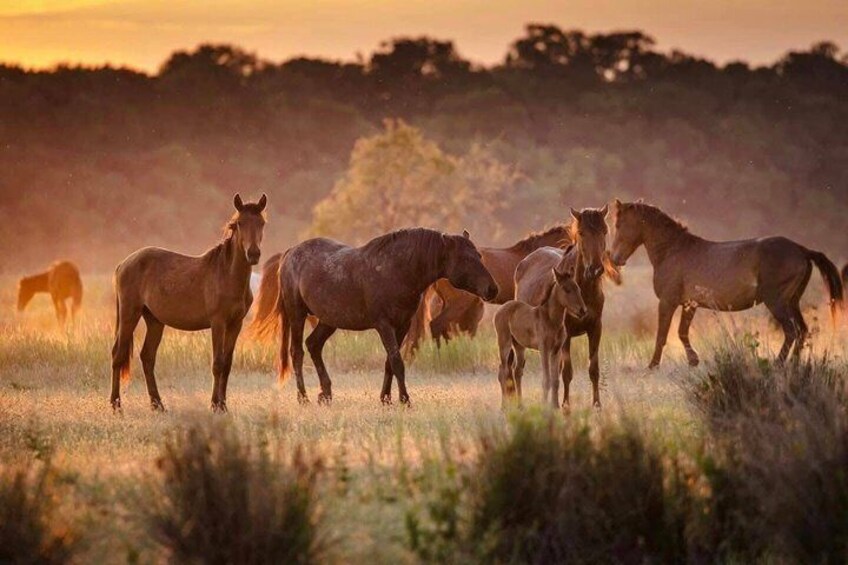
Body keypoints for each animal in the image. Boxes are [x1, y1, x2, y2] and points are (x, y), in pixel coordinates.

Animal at [110, 194, 267, 412]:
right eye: (240, 223)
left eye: (261, 223)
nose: (253, 254)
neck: (226, 274)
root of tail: (123, 264)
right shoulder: (218, 323)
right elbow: (217, 363)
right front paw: (215, 405)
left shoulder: (235, 324)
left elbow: (227, 364)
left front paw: (223, 405)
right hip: (129, 315)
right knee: (118, 355)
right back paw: (116, 405)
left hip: (154, 321)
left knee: (147, 357)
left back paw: (158, 405)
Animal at [253, 228, 498, 406]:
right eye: (466, 259)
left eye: (479, 255)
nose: (492, 289)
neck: (397, 270)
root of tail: (290, 252)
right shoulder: (384, 325)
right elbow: (397, 361)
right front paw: (404, 400)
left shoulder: (402, 325)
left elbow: (390, 362)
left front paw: (386, 399)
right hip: (297, 315)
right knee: (297, 352)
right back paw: (303, 397)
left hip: (329, 321)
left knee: (313, 345)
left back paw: (326, 394)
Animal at [494, 249, 587, 407]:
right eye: (566, 289)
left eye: (579, 289)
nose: (582, 310)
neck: (552, 321)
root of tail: (501, 309)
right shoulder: (544, 349)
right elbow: (546, 380)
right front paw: (545, 407)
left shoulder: (556, 350)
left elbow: (555, 380)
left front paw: (555, 407)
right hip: (504, 343)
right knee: (503, 371)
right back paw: (504, 407)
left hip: (519, 346)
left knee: (517, 371)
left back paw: (520, 406)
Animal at [515, 206, 617, 409]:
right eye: (581, 233)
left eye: (604, 231)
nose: (595, 269)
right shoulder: (566, 334)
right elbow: (567, 372)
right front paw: (565, 405)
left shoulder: (596, 328)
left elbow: (593, 369)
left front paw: (597, 404)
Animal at [609, 199, 844, 366]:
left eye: (619, 224)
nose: (614, 259)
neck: (673, 250)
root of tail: (801, 250)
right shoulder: (689, 305)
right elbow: (682, 332)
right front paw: (693, 360)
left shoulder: (668, 302)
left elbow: (662, 335)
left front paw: (652, 365)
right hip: (792, 302)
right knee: (802, 331)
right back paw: (794, 365)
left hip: (776, 302)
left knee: (791, 331)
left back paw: (778, 364)